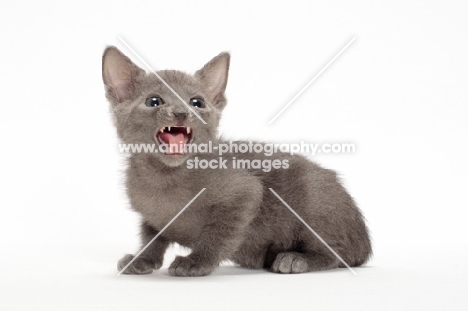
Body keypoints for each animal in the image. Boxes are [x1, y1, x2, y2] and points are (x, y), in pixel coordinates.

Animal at [100, 47, 372, 278]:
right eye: (154, 101)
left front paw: (197, 261)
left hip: (314, 195)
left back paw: (296, 259)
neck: (164, 176)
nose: (181, 113)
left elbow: (220, 232)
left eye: (197, 102)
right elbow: (151, 234)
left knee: (338, 253)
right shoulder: (149, 213)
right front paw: (143, 259)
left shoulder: (244, 192)